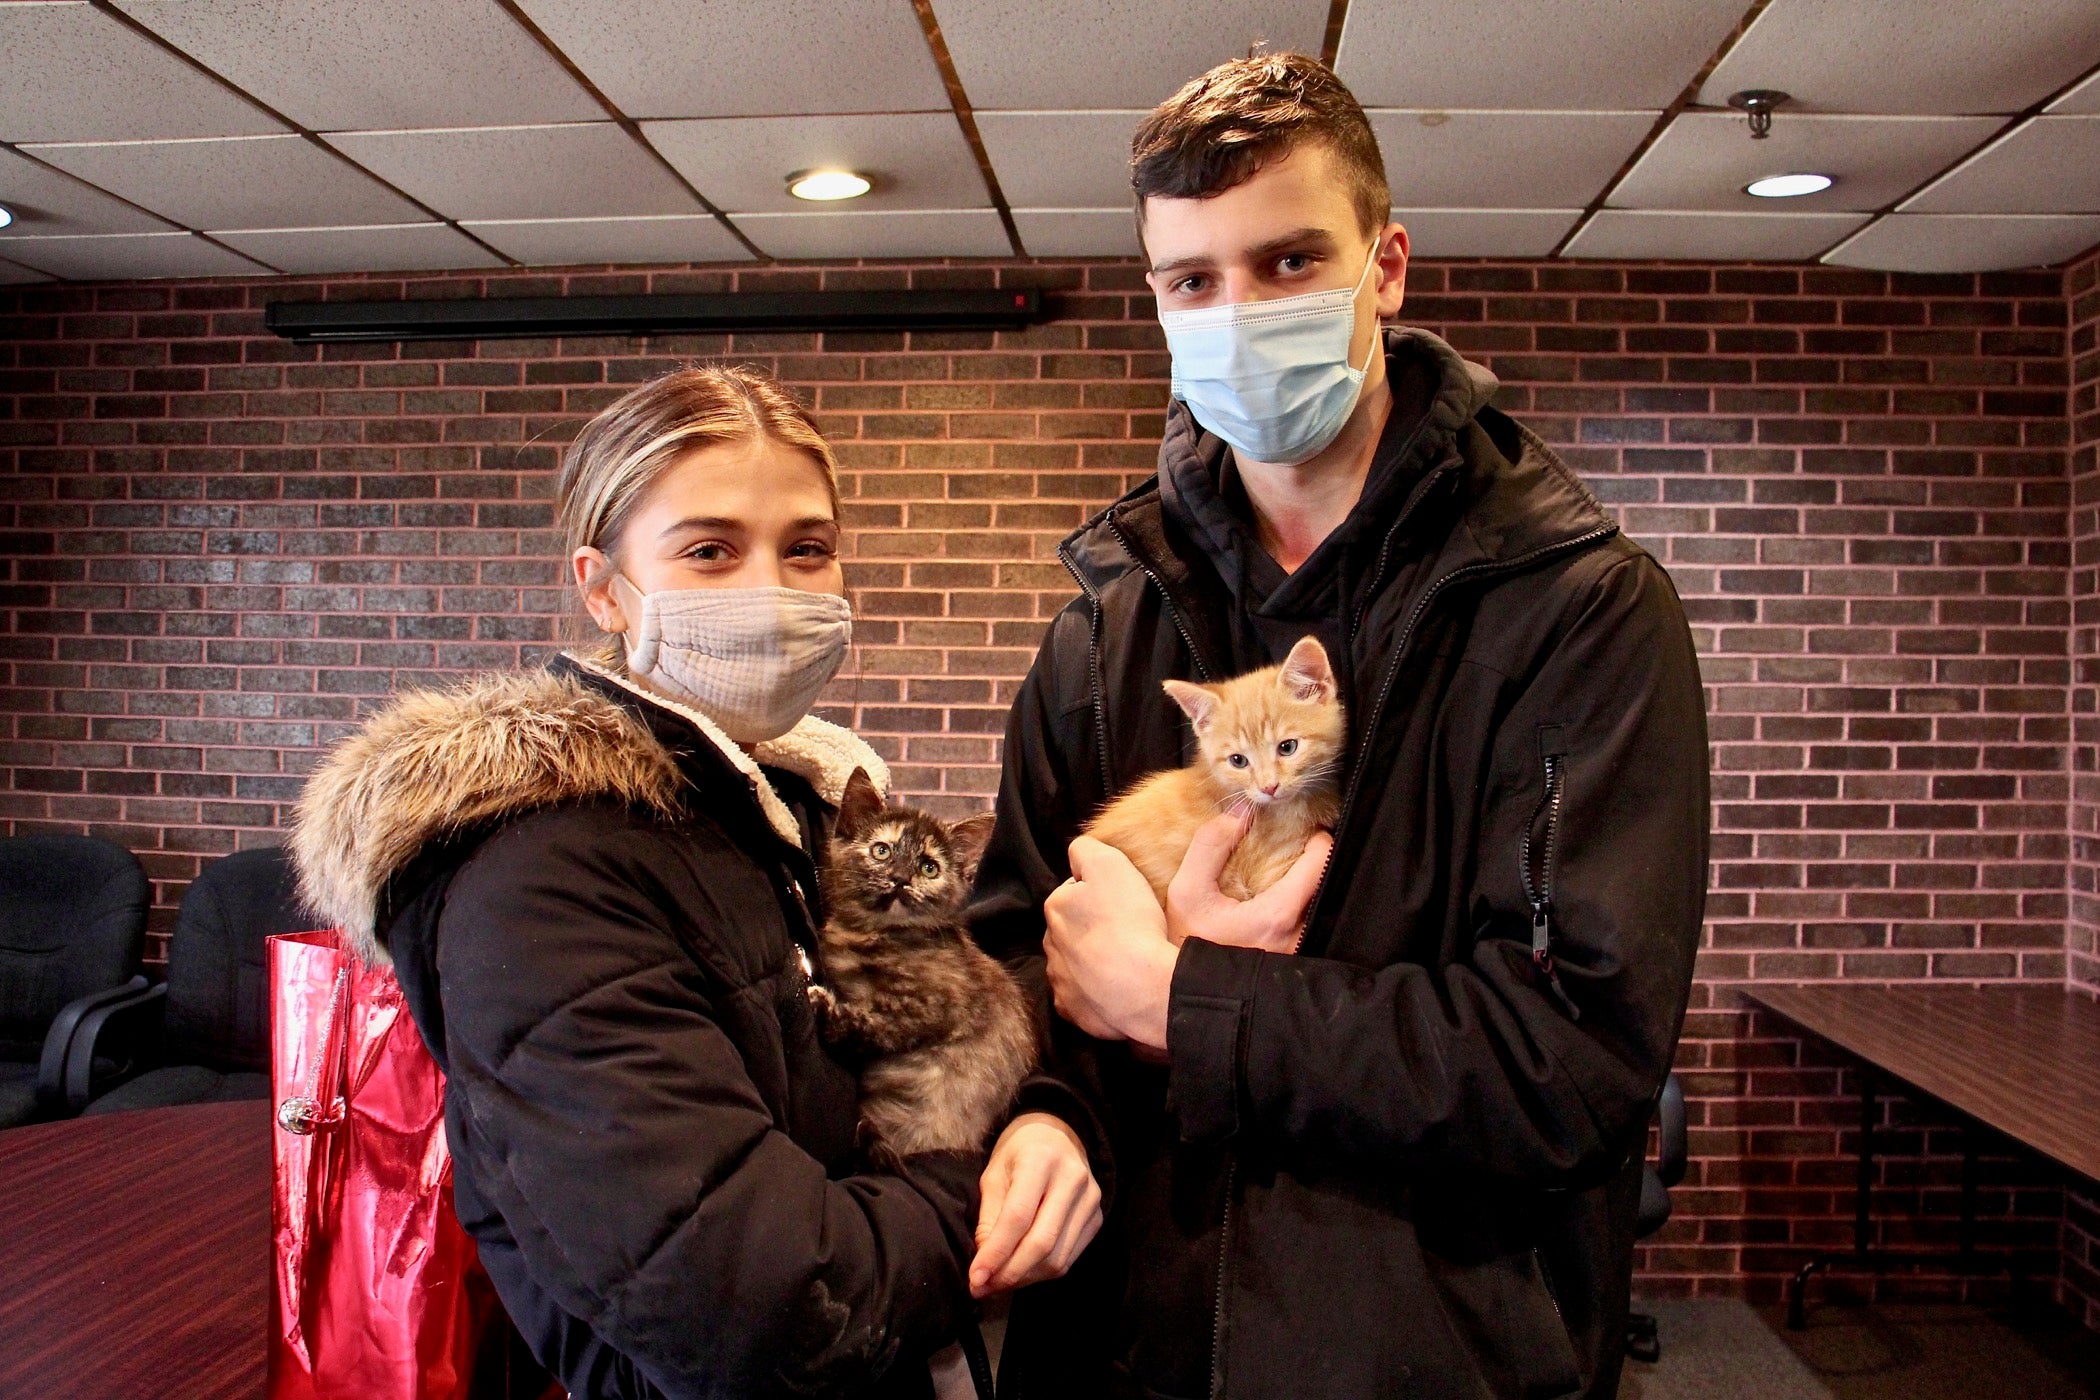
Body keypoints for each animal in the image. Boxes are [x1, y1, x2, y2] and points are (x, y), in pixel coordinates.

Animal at [806, 772, 1037, 1167]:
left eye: (930, 868)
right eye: (882, 851)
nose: (901, 878)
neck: (875, 931)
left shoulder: (937, 1006)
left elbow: (877, 1023)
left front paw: (824, 1008)